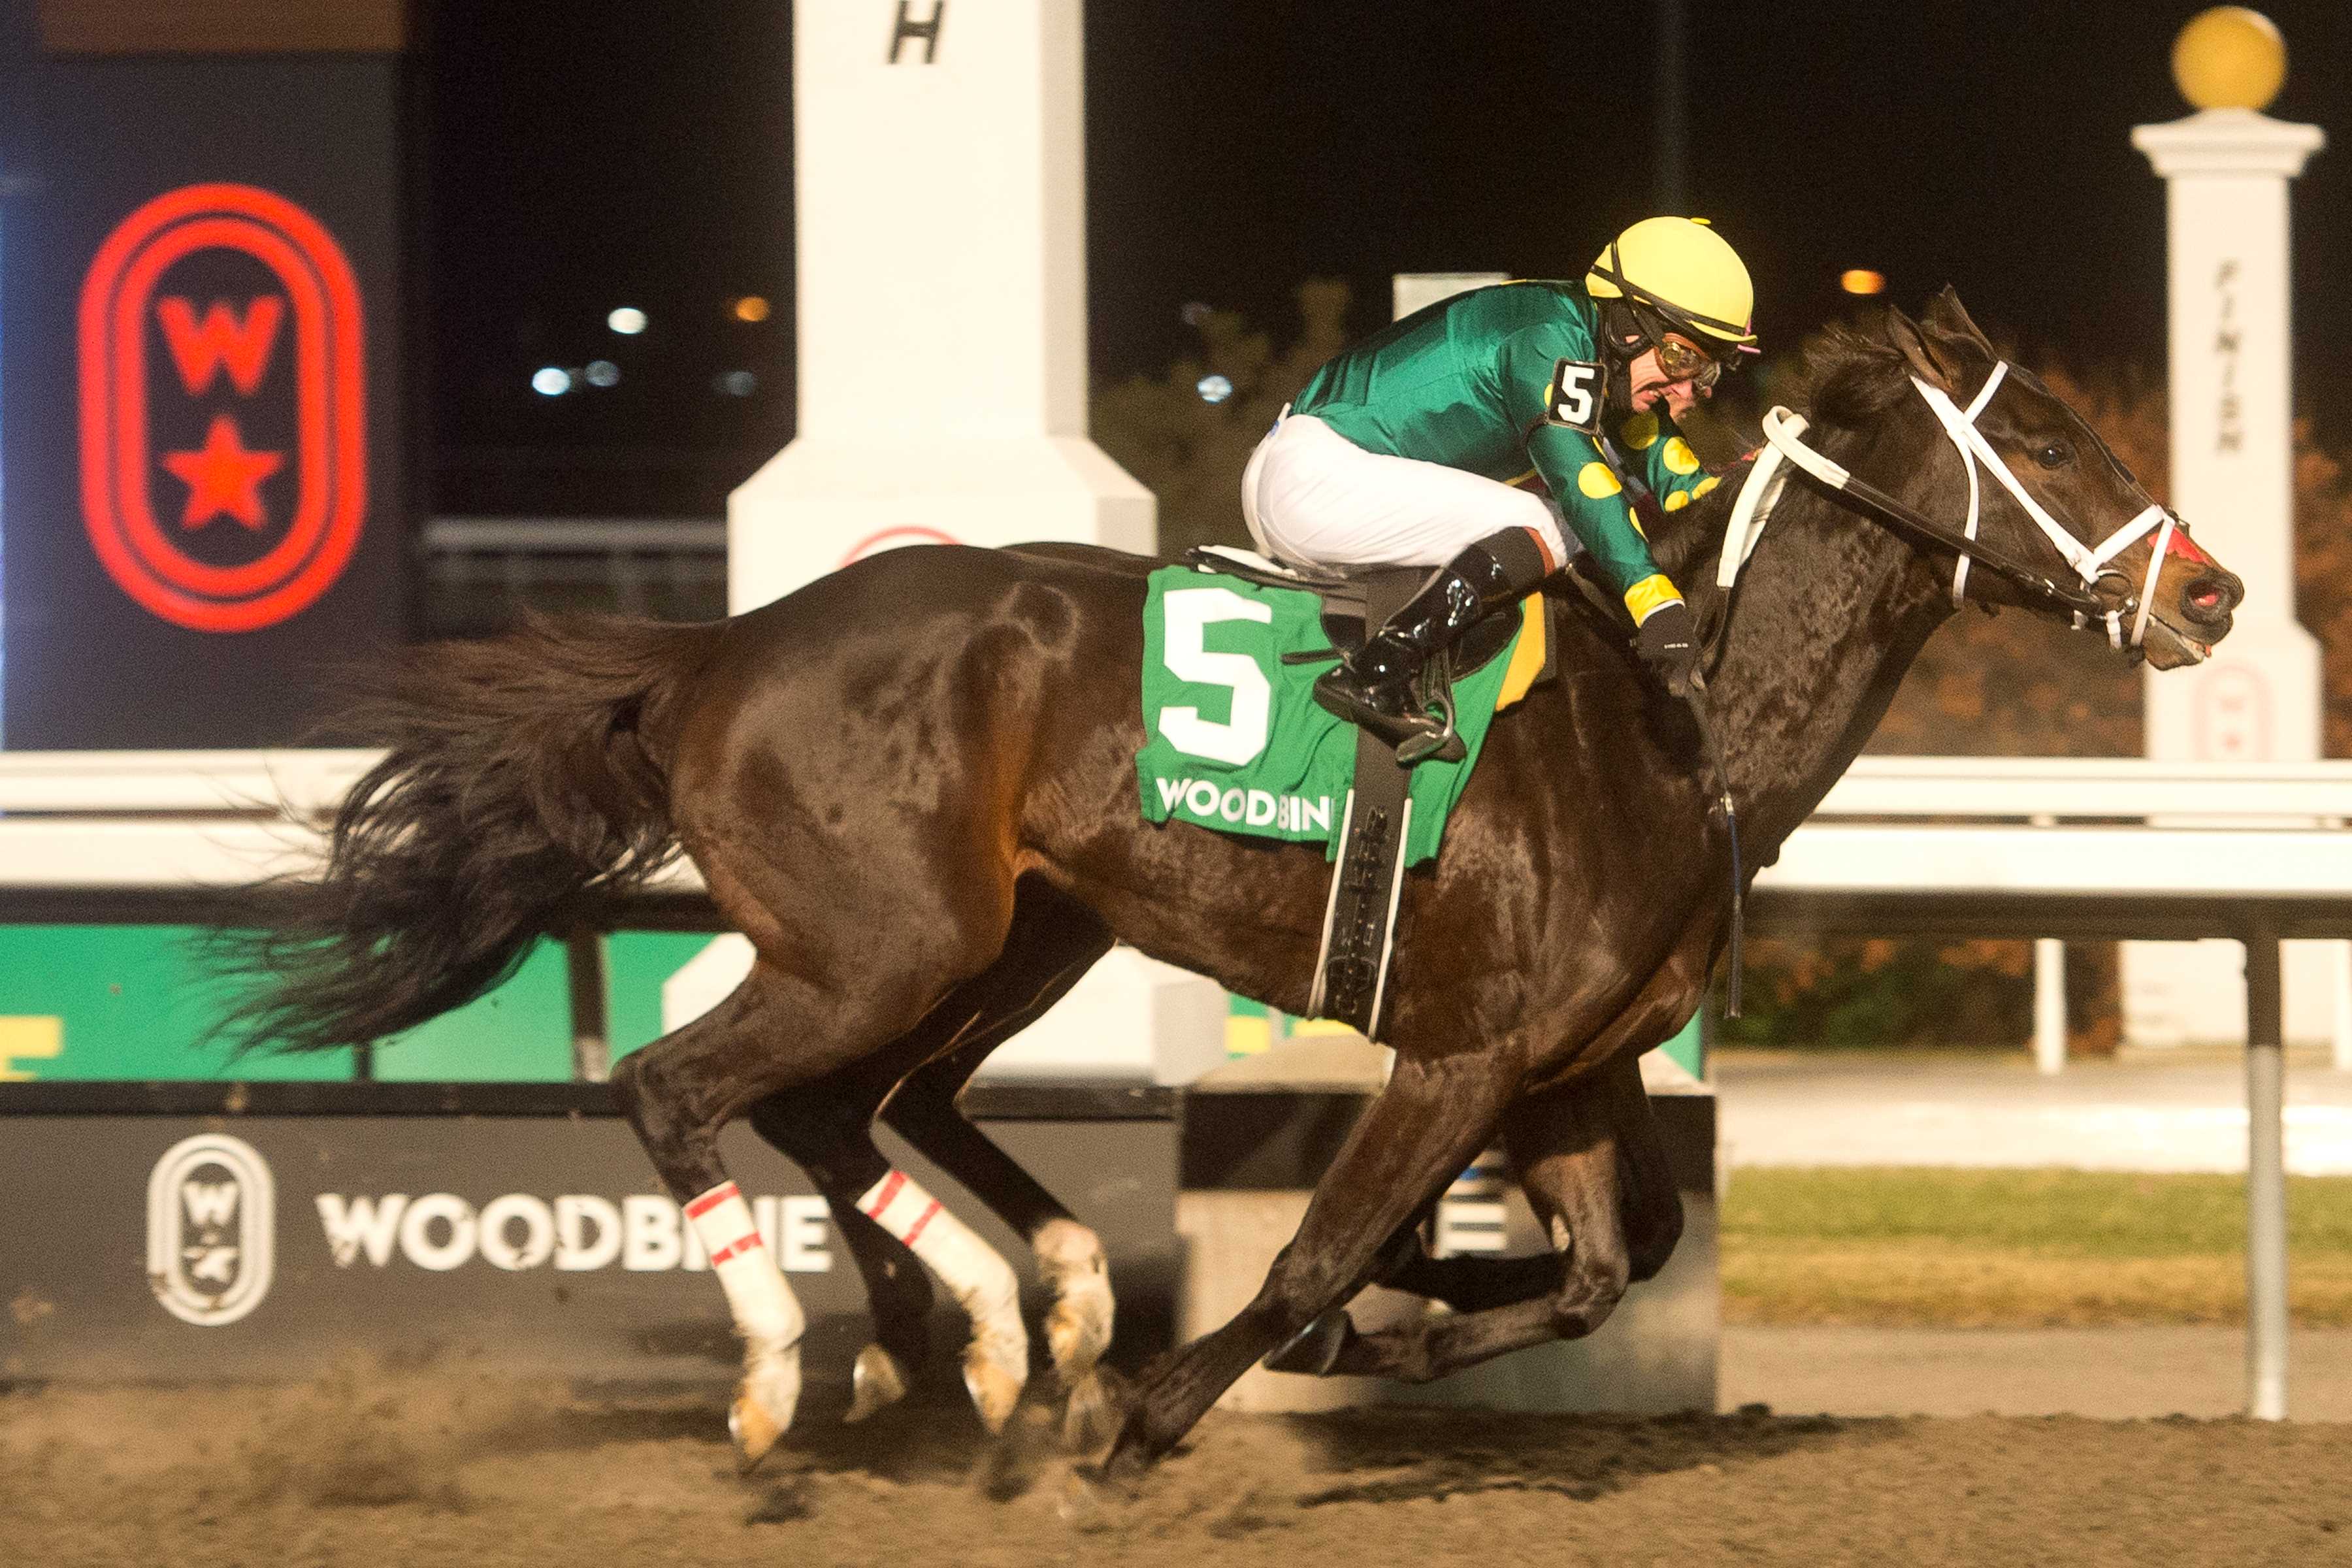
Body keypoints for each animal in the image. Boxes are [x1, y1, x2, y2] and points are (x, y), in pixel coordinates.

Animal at [221, 293, 2239, 1486]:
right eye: (2044, 442)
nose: (2211, 595)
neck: (1677, 728)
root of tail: (720, 648)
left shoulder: (1566, 1068)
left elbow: (1615, 1265)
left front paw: (1397, 1321)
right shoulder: (1462, 1054)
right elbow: (1313, 1251)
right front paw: (1160, 1414)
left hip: (1007, 934)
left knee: (853, 1106)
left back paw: (987, 1328)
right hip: (887, 939)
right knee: (684, 1085)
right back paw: (804, 1373)